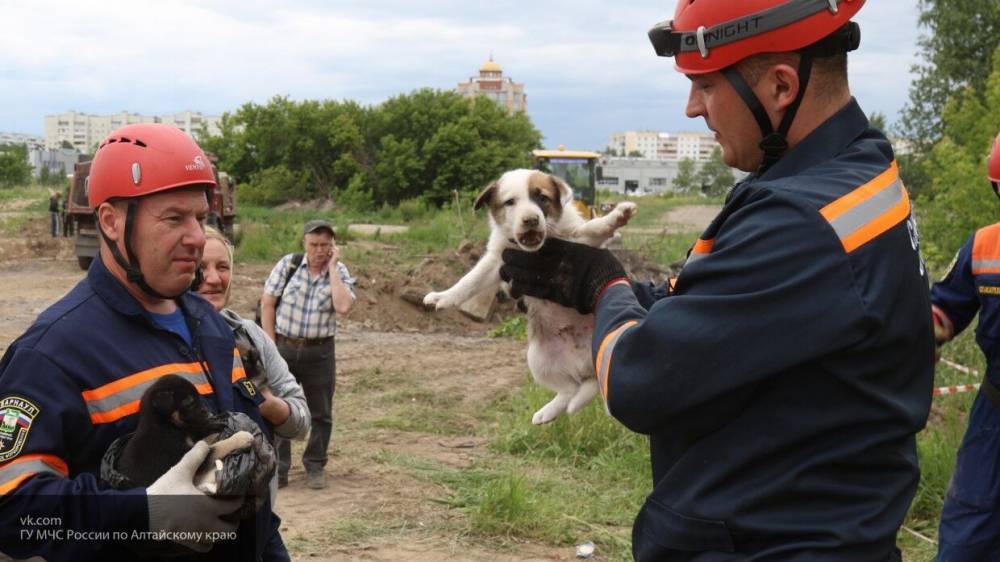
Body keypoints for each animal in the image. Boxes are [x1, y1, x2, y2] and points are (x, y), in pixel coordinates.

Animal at [426, 168, 636, 422]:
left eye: (542, 198)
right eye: (510, 202)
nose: (531, 220)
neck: (536, 249)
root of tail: (587, 367)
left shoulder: (574, 241)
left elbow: (590, 228)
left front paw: (614, 218)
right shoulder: (497, 261)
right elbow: (470, 281)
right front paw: (442, 297)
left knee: (578, 388)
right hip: (537, 360)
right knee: (569, 389)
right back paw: (546, 413)